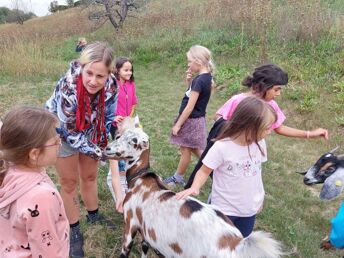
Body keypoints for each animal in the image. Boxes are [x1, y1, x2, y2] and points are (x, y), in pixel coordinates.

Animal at [103, 124, 284, 256]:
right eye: (119, 136)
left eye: (133, 141)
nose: (107, 149)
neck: (140, 178)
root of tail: (236, 243)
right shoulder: (147, 234)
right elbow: (144, 250)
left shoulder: (130, 225)